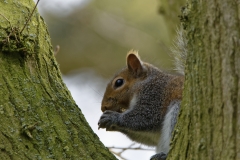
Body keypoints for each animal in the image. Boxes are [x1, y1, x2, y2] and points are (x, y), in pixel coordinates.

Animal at [97, 30, 186, 160]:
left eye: (119, 82)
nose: (104, 107)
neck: (145, 83)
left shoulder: (154, 96)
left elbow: (146, 118)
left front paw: (113, 117)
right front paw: (111, 124)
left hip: (177, 109)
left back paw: (164, 155)